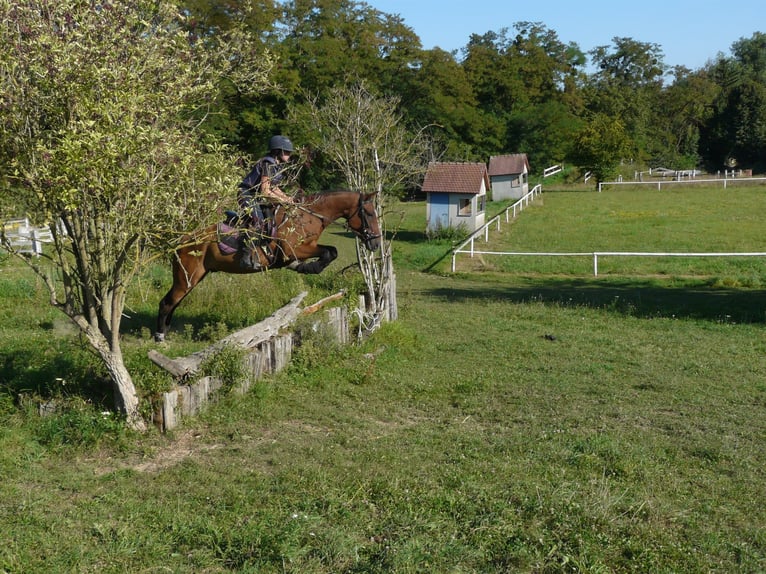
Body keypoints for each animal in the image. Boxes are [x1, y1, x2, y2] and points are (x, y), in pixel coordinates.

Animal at [154, 190, 381, 341]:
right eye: (370, 214)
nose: (376, 244)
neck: (308, 217)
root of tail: (182, 241)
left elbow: (331, 251)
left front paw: (303, 267)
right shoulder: (294, 249)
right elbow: (329, 252)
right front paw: (311, 268)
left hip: (195, 276)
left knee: (173, 302)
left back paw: (165, 331)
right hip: (187, 277)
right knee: (167, 302)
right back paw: (159, 337)